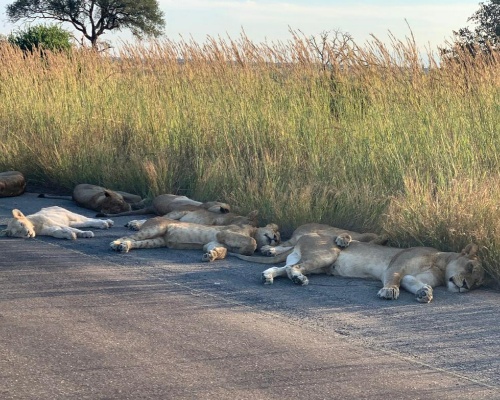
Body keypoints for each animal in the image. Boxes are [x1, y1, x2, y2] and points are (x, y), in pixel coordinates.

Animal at [109, 216, 280, 262]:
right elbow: (253, 242)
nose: (275, 239)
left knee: (136, 242)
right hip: (156, 228)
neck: (253, 230)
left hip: (156, 241)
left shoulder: (213, 242)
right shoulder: (224, 233)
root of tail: (151, 218)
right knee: (129, 236)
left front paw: (211, 256)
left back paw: (124, 246)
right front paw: (246, 250)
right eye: (275, 232)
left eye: (279, 240)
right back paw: (115, 244)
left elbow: (221, 251)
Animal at [233, 231, 484, 304]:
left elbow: (414, 283)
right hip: (326, 254)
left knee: (285, 268)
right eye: (470, 267)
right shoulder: (395, 267)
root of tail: (304, 236)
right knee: (294, 268)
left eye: (478, 283)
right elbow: (393, 279)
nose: (465, 286)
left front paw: (425, 292)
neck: (440, 264)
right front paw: (389, 291)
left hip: (317, 264)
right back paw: (298, 279)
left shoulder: (410, 276)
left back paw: (268, 276)